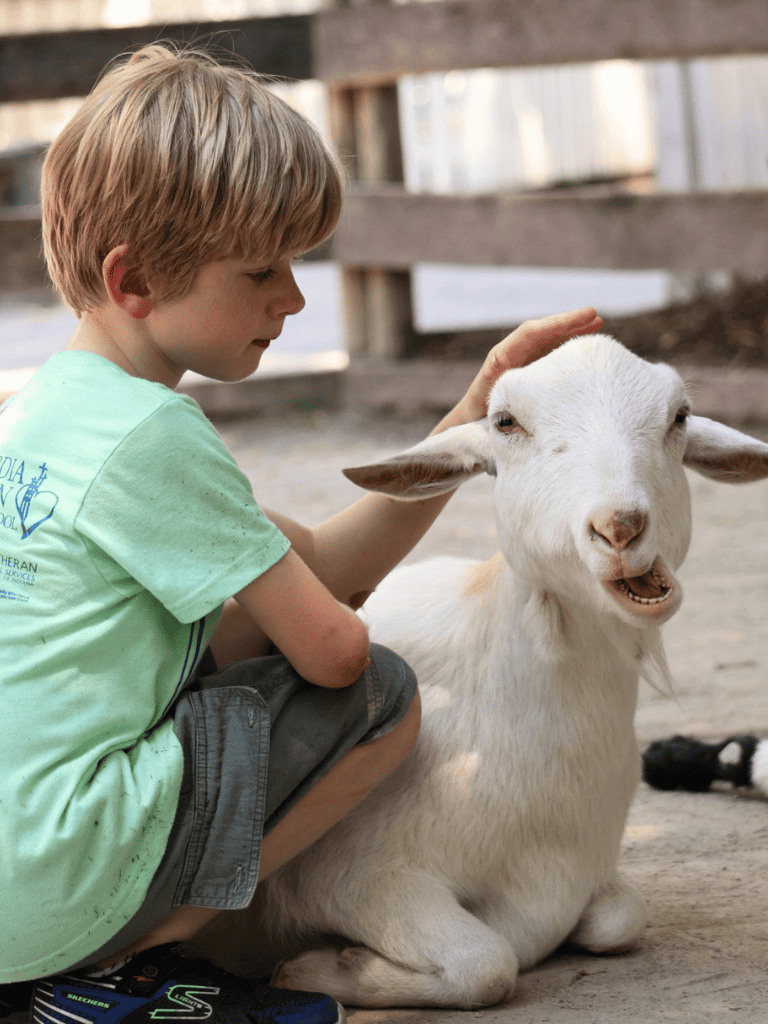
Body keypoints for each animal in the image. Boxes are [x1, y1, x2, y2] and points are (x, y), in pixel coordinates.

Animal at [195, 334, 768, 1009]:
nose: (621, 527)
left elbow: (620, 918)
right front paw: (319, 969)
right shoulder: (353, 875)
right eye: (506, 422)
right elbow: (487, 964)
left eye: (679, 416)